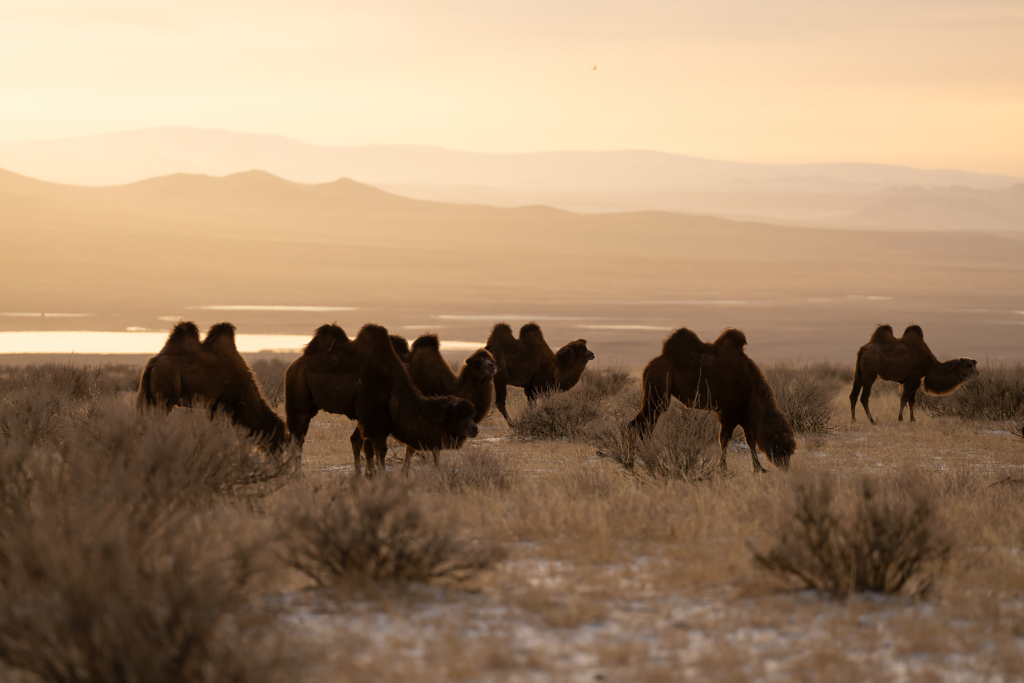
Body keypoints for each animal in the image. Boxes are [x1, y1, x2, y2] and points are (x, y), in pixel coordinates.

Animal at [136, 321, 286, 450]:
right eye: (280, 438)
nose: (279, 457)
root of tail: (152, 364)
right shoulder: (226, 403)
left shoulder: (214, 406)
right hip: (166, 394)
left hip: (145, 393)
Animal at [284, 321, 479, 473]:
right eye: (459, 416)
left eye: (470, 414)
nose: (475, 429)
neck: (393, 385)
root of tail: (293, 366)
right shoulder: (373, 418)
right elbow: (379, 449)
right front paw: (380, 477)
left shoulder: (375, 419)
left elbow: (370, 448)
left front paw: (369, 476)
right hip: (298, 399)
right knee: (296, 437)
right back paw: (297, 475)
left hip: (311, 405)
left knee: (300, 438)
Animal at [622, 327, 798, 473]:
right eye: (781, 450)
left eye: (790, 452)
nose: (786, 469)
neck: (750, 386)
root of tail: (650, 366)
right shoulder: (728, 413)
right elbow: (725, 439)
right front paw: (723, 468)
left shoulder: (745, 415)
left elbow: (750, 442)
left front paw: (759, 468)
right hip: (658, 394)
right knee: (636, 426)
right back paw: (634, 463)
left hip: (656, 398)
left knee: (645, 428)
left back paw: (647, 459)